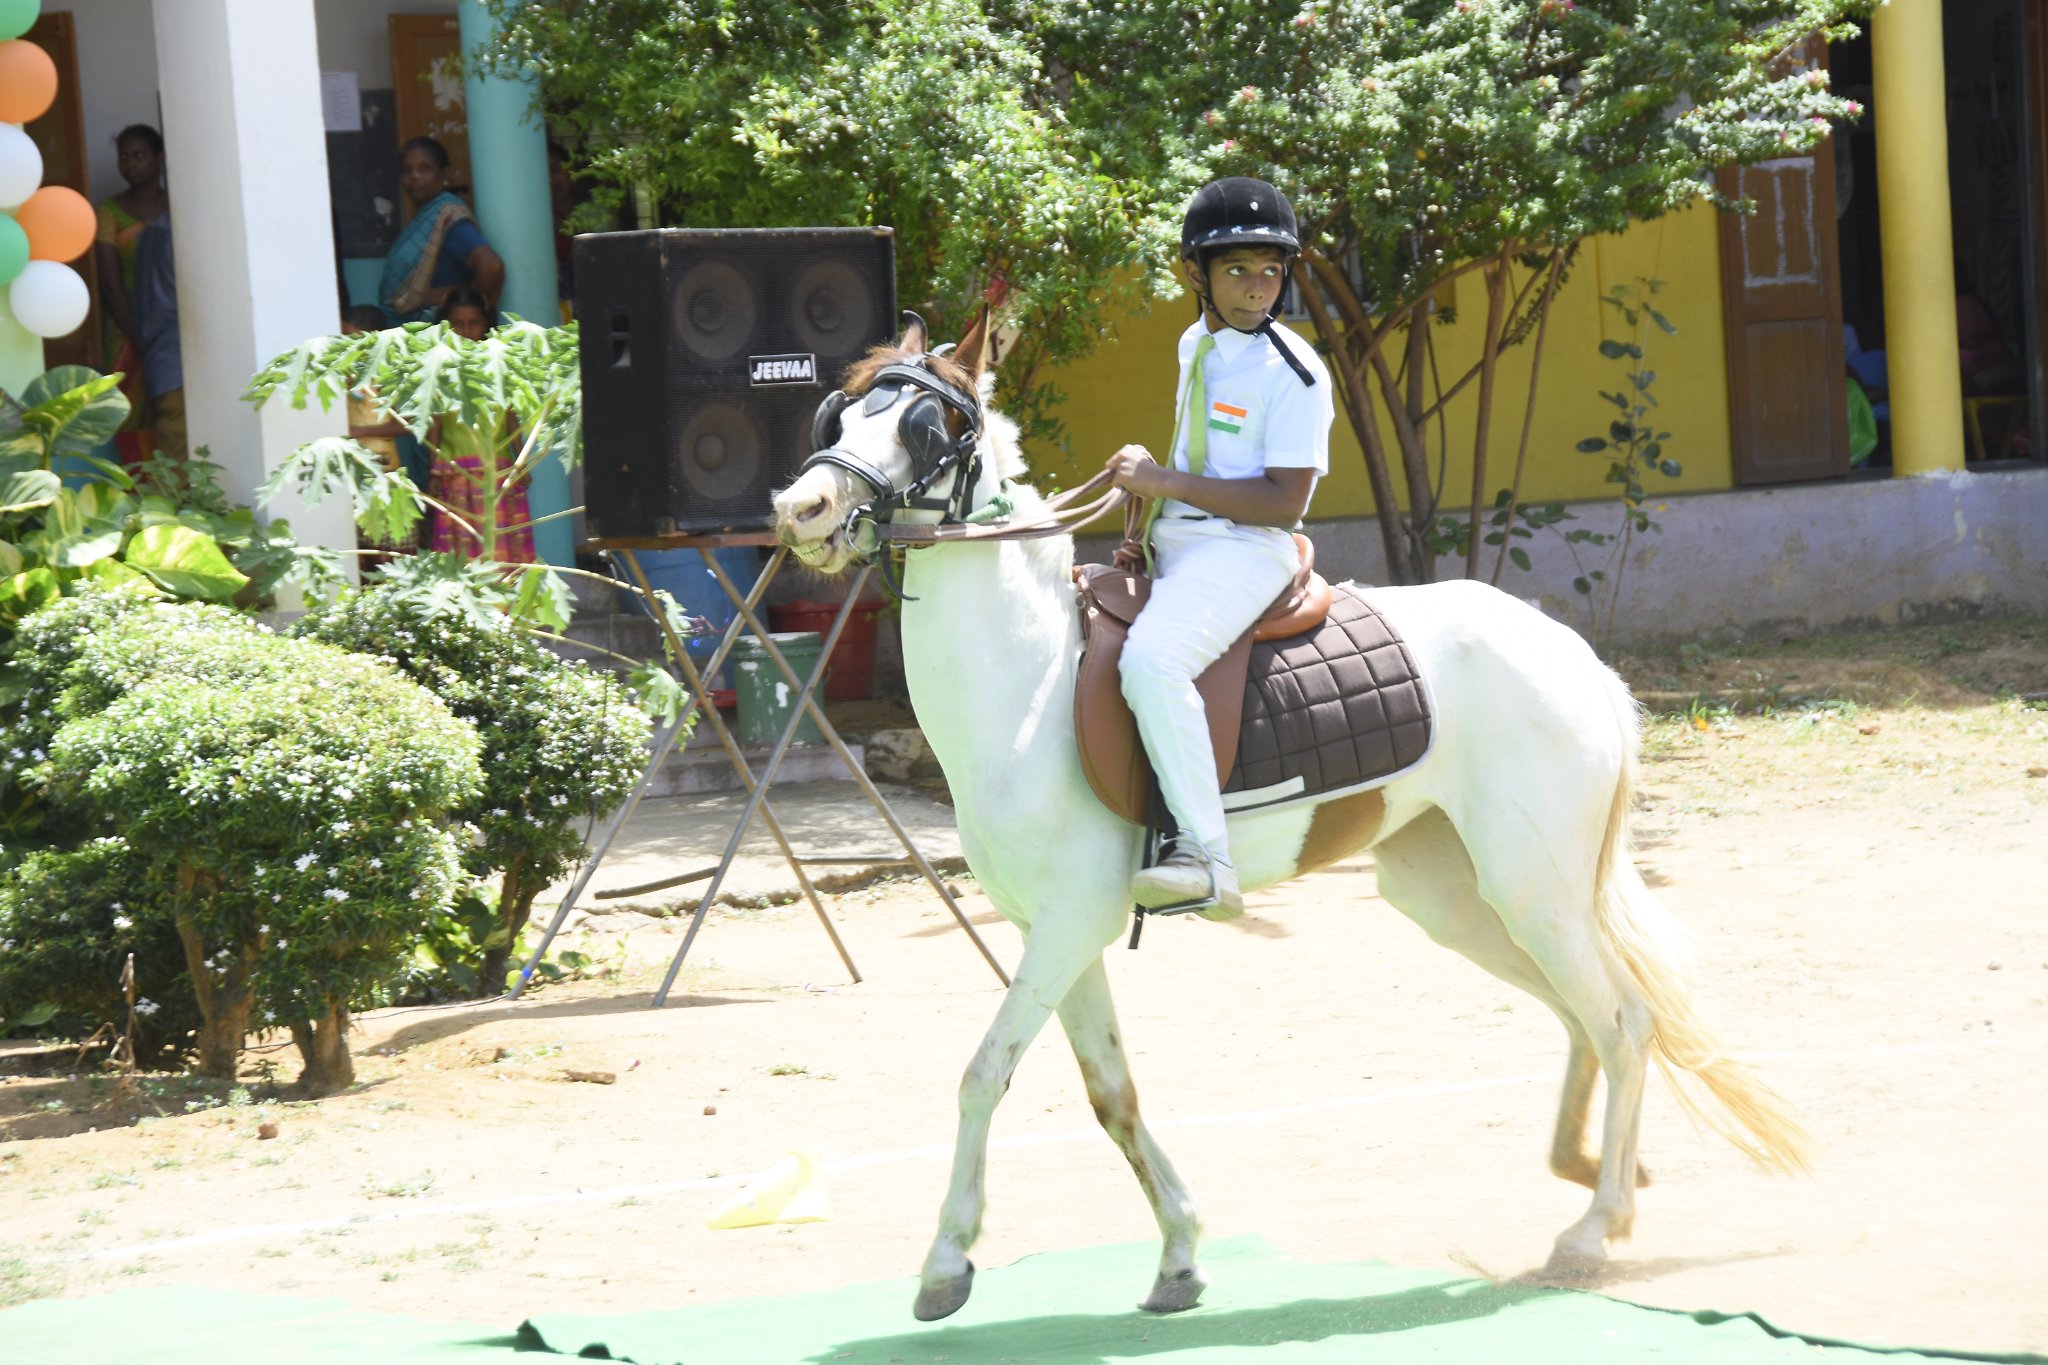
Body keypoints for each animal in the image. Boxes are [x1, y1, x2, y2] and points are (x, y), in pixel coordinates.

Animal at [770, 315, 1810, 1317]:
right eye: (842, 412)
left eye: (926, 426)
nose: (799, 509)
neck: (1032, 684)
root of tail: (1575, 655)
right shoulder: (1056, 933)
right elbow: (1112, 1094)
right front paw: (1179, 1255)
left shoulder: (1070, 924)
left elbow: (985, 1072)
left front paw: (946, 1262)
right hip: (1458, 898)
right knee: (1583, 1016)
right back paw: (1595, 1171)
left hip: (1535, 889)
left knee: (1624, 1020)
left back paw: (1595, 1229)